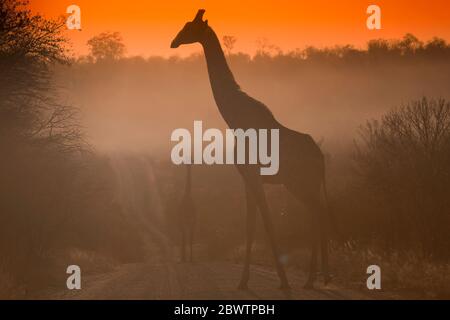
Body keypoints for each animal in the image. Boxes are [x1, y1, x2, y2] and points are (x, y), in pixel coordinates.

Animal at [171, 8, 332, 288]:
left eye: (189, 27)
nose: (174, 42)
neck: (235, 118)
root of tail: (320, 158)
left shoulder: (255, 175)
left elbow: (267, 223)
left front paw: (282, 280)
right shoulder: (246, 177)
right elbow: (250, 226)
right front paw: (244, 280)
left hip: (301, 183)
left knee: (318, 214)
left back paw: (315, 277)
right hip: (304, 185)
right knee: (318, 214)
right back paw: (316, 278)